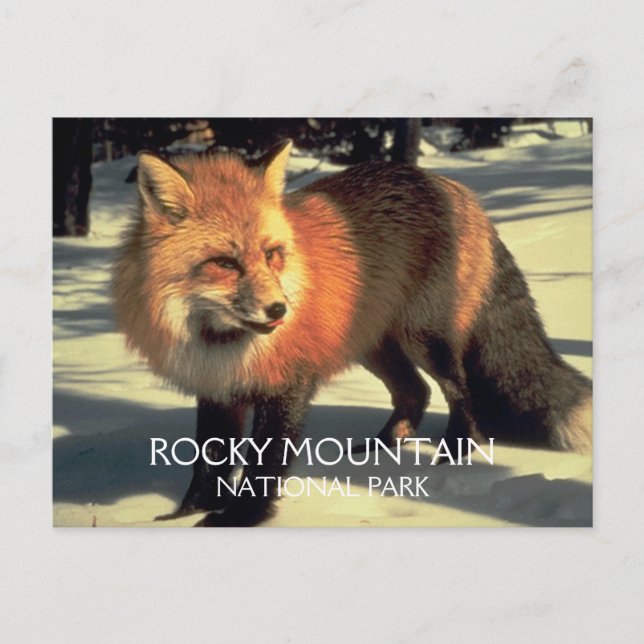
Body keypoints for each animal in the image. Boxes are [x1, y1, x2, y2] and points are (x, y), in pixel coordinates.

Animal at [112, 139, 592, 527]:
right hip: (371, 344)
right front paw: (184, 514)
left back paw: (453, 452)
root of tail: (450, 185)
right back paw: (381, 450)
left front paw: (239, 518)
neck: (219, 342)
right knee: (415, 391)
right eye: (225, 263)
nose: (280, 310)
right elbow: (208, 462)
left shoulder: (288, 383)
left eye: (272, 254)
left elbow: (263, 465)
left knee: (459, 391)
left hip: (424, 338)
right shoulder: (217, 389)